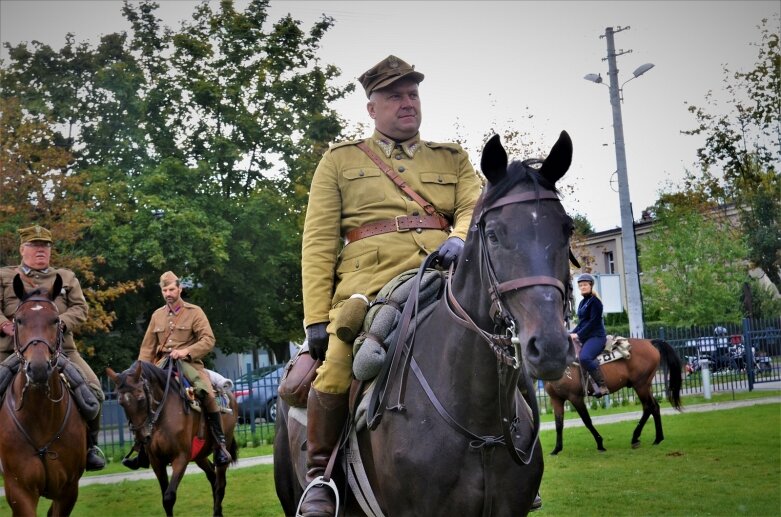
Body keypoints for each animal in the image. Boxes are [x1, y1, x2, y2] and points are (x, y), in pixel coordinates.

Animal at [0, 272, 87, 512]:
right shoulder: (19, 491)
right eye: (19, 320)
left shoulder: (68, 490)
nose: (38, 368)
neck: (40, 416)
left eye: (55, 320)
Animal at [106, 358, 238, 516]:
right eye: (121, 402)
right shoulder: (156, 461)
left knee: (220, 484)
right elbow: (165, 498)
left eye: (141, 398)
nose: (142, 438)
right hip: (199, 455)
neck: (162, 416)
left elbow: (169, 497)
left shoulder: (181, 457)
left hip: (222, 448)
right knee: (213, 477)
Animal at [544, 336, 684, 454]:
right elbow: (559, 424)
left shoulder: (575, 398)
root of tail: (649, 342)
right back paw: (657, 438)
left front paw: (600, 444)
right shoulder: (556, 399)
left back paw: (636, 438)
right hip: (645, 386)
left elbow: (587, 421)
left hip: (641, 385)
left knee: (649, 407)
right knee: (654, 407)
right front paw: (556, 449)